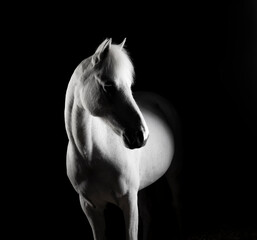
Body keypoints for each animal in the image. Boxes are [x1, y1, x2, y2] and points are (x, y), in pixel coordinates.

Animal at [64, 38, 181, 239]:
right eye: (109, 86)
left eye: (129, 86)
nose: (141, 136)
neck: (91, 154)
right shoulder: (91, 208)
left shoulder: (128, 201)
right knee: (148, 213)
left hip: (173, 173)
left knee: (175, 204)